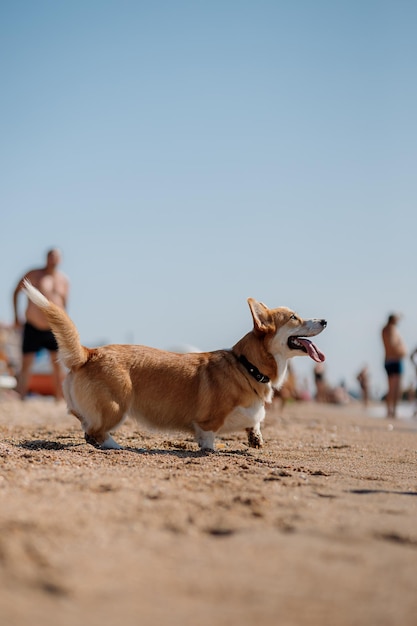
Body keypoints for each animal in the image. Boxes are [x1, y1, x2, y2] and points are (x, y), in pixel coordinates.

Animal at [22, 280, 326, 450]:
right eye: (294, 317)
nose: (324, 320)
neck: (247, 366)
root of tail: (89, 352)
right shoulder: (207, 423)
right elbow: (208, 438)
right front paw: (211, 449)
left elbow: (255, 425)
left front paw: (256, 439)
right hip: (117, 407)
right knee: (96, 431)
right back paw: (117, 446)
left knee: (85, 426)